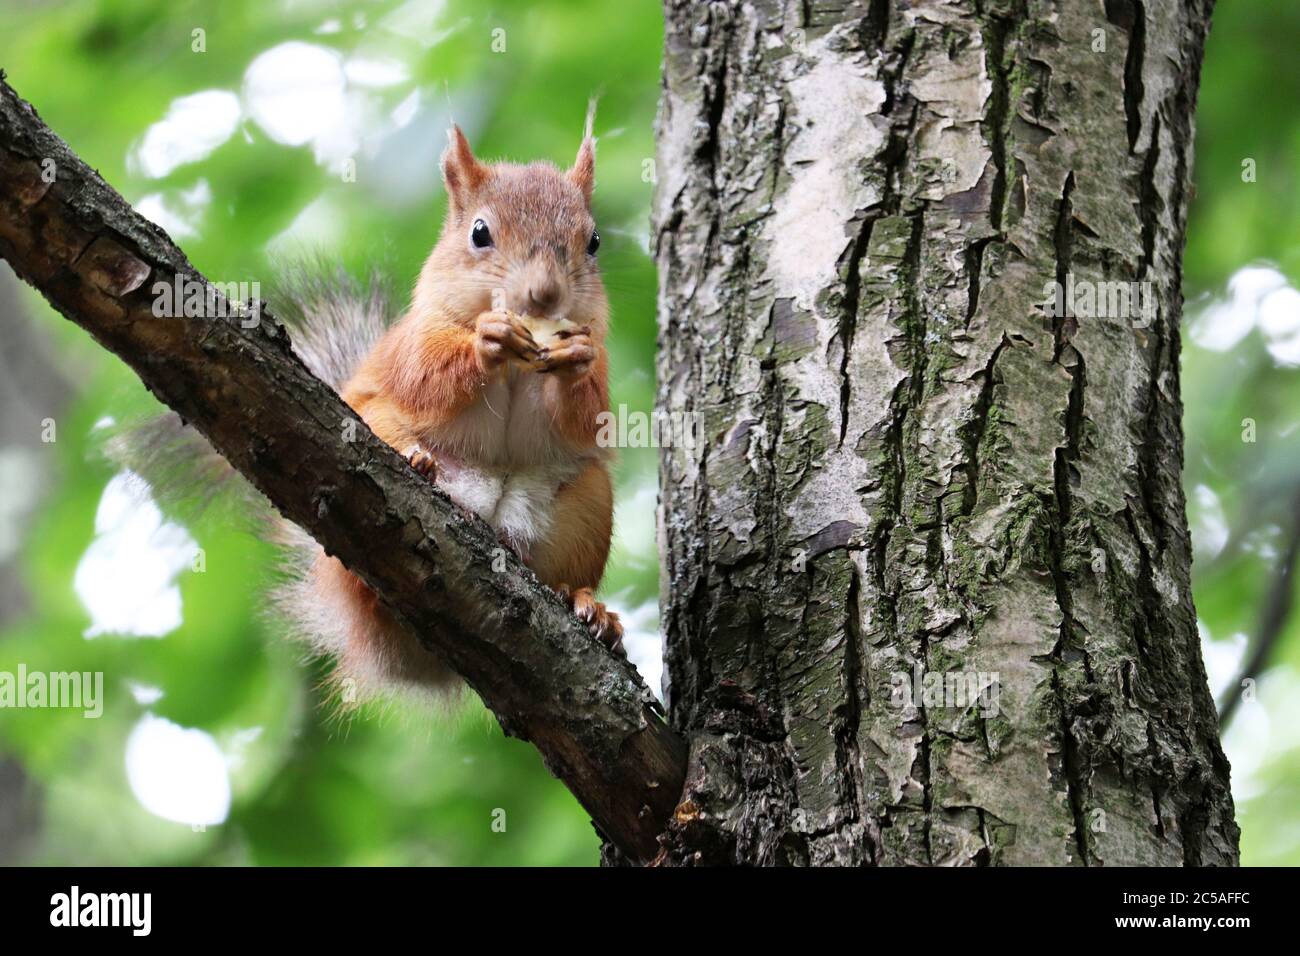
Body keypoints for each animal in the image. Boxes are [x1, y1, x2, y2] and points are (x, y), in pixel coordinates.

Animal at [111, 117, 618, 702]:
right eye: (479, 233)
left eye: (593, 241)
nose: (543, 296)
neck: (518, 368)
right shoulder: (409, 344)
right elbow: (424, 376)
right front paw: (485, 341)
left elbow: (589, 416)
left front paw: (575, 361)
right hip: (374, 451)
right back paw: (421, 469)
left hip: (588, 504)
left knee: (568, 569)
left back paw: (589, 606)